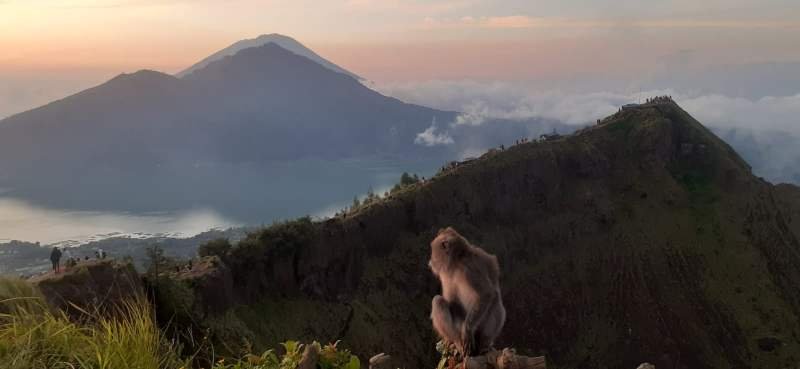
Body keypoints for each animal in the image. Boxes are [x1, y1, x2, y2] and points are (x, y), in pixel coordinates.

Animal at [428, 227, 504, 356]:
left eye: (433, 250)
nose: (430, 261)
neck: (457, 261)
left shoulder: (470, 268)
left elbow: (486, 293)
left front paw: (467, 331)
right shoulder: (445, 274)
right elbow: (451, 301)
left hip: (478, 327)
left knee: (495, 300)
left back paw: (483, 343)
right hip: (458, 326)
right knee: (438, 301)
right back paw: (455, 340)